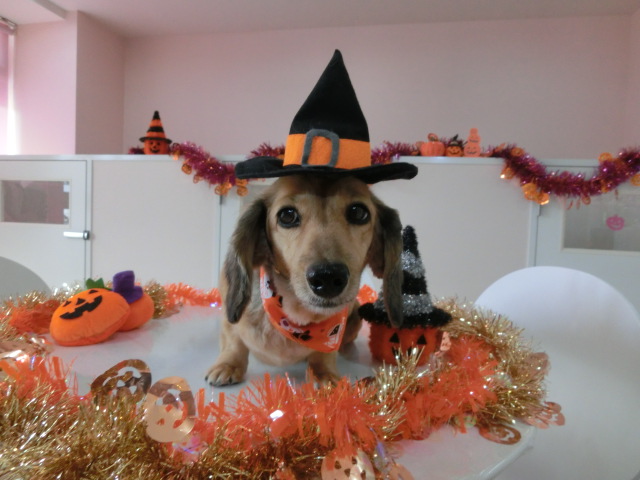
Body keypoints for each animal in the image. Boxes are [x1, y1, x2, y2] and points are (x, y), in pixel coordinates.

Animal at [205, 174, 405, 386]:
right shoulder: (229, 318)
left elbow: (323, 355)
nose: (328, 277)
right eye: (287, 215)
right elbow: (233, 339)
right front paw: (228, 365)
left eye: (358, 212)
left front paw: (323, 374)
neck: (297, 316)